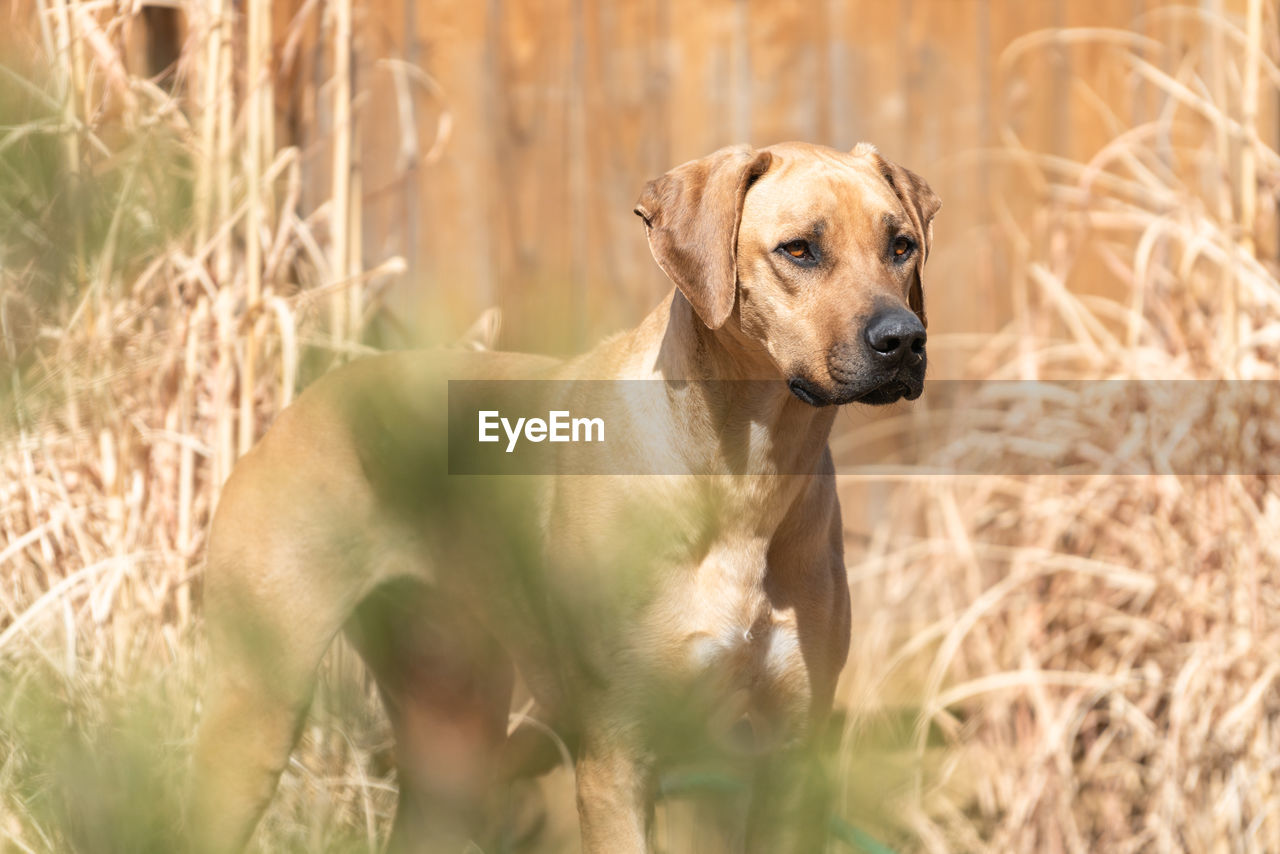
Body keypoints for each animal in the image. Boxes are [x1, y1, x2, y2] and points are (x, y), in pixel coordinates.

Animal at [192, 143, 942, 850]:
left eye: (900, 245)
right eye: (798, 249)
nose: (903, 338)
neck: (744, 478)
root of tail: (303, 404)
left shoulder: (784, 755)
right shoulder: (617, 756)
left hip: (452, 734)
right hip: (256, 709)